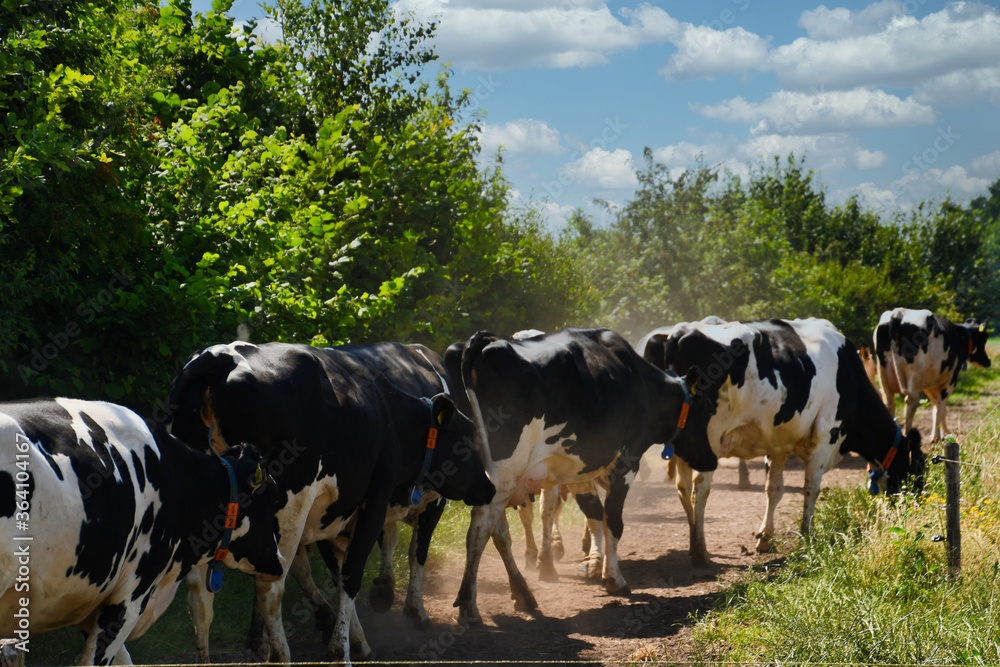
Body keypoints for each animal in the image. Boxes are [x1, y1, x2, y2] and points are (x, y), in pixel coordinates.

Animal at [166, 341, 495, 665]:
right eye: (465, 436)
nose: (489, 487)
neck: (386, 412)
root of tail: (221, 356)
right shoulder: (376, 501)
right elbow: (360, 571)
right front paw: (343, 650)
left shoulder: (334, 514)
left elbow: (340, 574)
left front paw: (357, 639)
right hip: (287, 509)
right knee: (269, 587)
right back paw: (280, 655)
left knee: (200, 598)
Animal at [449, 328, 715, 624]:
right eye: (707, 410)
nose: (712, 460)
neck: (640, 381)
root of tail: (484, 341)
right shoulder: (626, 463)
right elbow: (613, 520)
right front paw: (614, 578)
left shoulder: (581, 470)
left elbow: (594, 513)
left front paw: (594, 563)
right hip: (506, 471)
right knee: (480, 529)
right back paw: (469, 605)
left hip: (493, 478)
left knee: (498, 532)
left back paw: (522, 594)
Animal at [639, 318, 924, 566]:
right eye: (917, 473)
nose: (914, 511)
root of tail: (679, 332)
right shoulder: (826, 435)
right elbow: (811, 487)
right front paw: (808, 535)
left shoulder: (777, 441)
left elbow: (774, 488)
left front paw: (765, 537)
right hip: (708, 439)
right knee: (700, 487)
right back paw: (700, 551)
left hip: (685, 445)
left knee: (683, 486)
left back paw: (694, 543)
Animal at [873, 308, 991, 442]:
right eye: (985, 338)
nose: (988, 361)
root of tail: (899, 313)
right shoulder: (950, 380)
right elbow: (940, 408)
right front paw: (937, 437)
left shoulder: (930, 384)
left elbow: (936, 407)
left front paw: (942, 433)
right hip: (915, 377)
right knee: (911, 404)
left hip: (883, 376)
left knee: (889, 404)